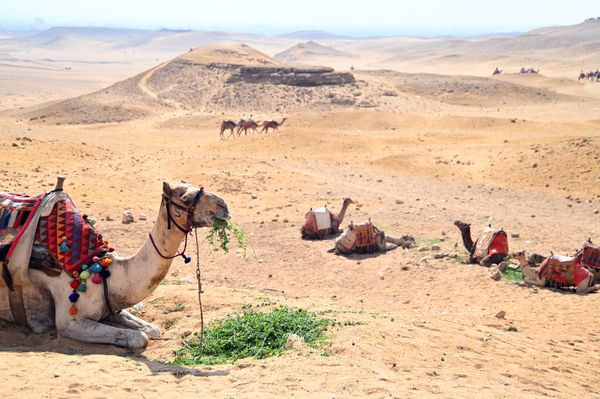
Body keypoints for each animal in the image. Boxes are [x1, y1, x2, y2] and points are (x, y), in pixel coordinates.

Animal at [0, 180, 230, 348]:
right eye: (185, 197)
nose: (224, 207)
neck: (102, 270)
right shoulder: (69, 321)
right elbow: (139, 338)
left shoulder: (111, 306)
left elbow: (152, 329)